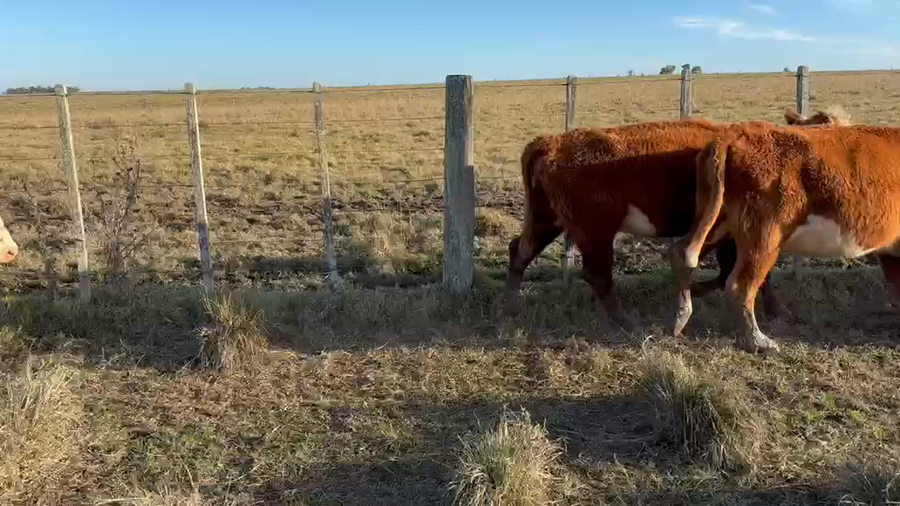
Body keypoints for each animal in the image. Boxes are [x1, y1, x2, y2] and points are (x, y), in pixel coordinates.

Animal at [504, 108, 848, 331]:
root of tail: (552, 142)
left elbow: (729, 273)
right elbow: (750, 275)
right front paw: (778, 310)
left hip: (548, 218)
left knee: (520, 251)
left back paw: (509, 307)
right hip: (594, 231)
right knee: (598, 275)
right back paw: (627, 321)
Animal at [669, 123, 900, 353]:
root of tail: (733, 135)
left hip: (717, 223)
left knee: (681, 252)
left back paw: (681, 318)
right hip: (763, 238)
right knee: (739, 286)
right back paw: (759, 341)